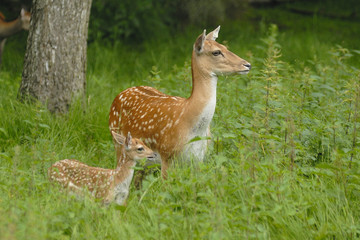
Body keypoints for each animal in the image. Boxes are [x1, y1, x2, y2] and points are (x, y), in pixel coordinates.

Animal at [108, 26, 252, 178]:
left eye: (225, 47)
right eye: (216, 52)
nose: (247, 64)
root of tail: (120, 94)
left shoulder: (199, 158)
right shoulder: (166, 155)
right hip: (118, 144)